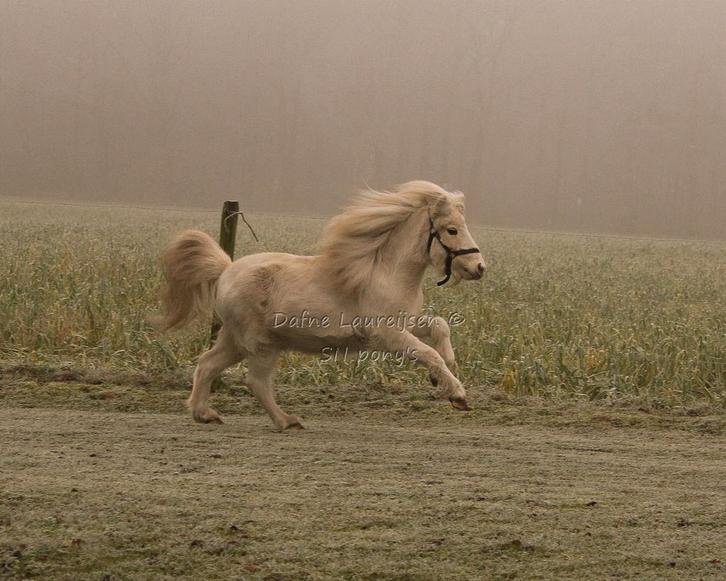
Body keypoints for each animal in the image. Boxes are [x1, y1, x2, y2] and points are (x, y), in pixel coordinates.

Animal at [158, 181, 486, 429]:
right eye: (452, 230)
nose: (479, 268)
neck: (385, 273)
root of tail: (225, 269)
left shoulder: (406, 323)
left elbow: (439, 327)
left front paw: (445, 370)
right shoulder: (388, 336)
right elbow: (428, 353)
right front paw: (457, 394)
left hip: (234, 340)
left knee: (207, 364)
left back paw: (204, 414)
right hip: (262, 344)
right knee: (256, 381)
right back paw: (287, 421)